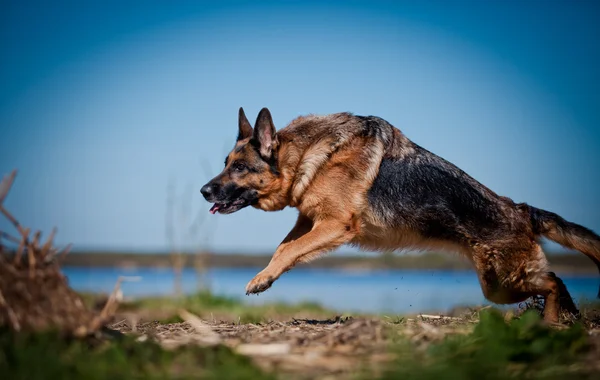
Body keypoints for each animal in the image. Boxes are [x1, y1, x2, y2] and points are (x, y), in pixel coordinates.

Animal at [202, 107, 600, 324]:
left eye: (239, 167)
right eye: (226, 164)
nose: (204, 191)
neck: (307, 154)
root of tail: (520, 210)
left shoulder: (334, 224)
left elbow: (290, 250)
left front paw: (261, 280)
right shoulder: (308, 222)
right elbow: (284, 248)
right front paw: (266, 275)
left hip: (501, 283)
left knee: (554, 282)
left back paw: (551, 322)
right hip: (498, 285)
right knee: (555, 280)